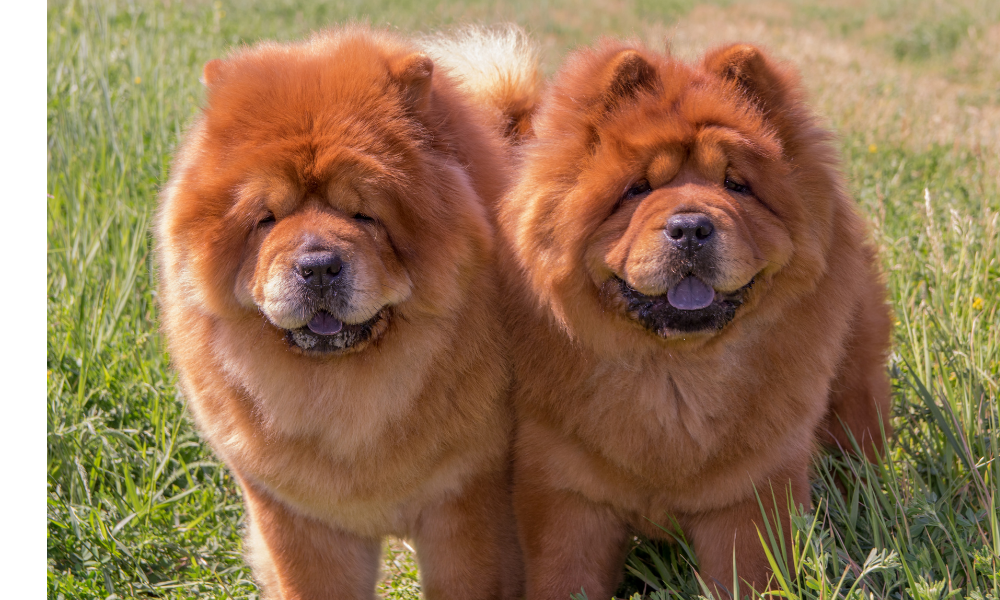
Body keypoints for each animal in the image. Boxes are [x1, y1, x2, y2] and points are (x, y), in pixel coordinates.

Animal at [153, 25, 532, 596]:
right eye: (267, 219)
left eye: (364, 215)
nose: (317, 266)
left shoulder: (468, 497)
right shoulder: (301, 520)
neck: (348, 399)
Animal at [496, 41, 896, 596]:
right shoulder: (567, 496)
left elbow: (749, 575)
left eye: (735, 185)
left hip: (852, 392)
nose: (690, 227)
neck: (675, 377)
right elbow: (566, 577)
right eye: (637, 189)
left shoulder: (749, 498)